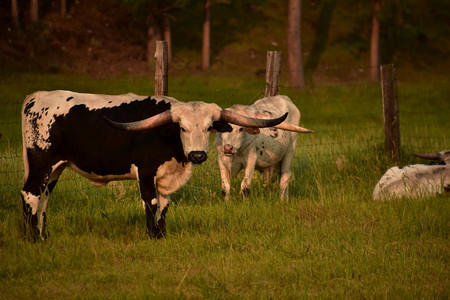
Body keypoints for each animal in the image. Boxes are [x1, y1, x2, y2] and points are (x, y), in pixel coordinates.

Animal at [21, 90, 286, 240]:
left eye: (209, 127)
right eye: (182, 128)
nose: (198, 155)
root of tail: (36, 97)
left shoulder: (167, 177)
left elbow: (165, 204)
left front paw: (162, 234)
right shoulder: (146, 171)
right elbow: (152, 202)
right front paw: (151, 235)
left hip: (56, 168)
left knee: (44, 199)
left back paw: (43, 235)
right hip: (42, 162)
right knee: (31, 194)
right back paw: (32, 238)